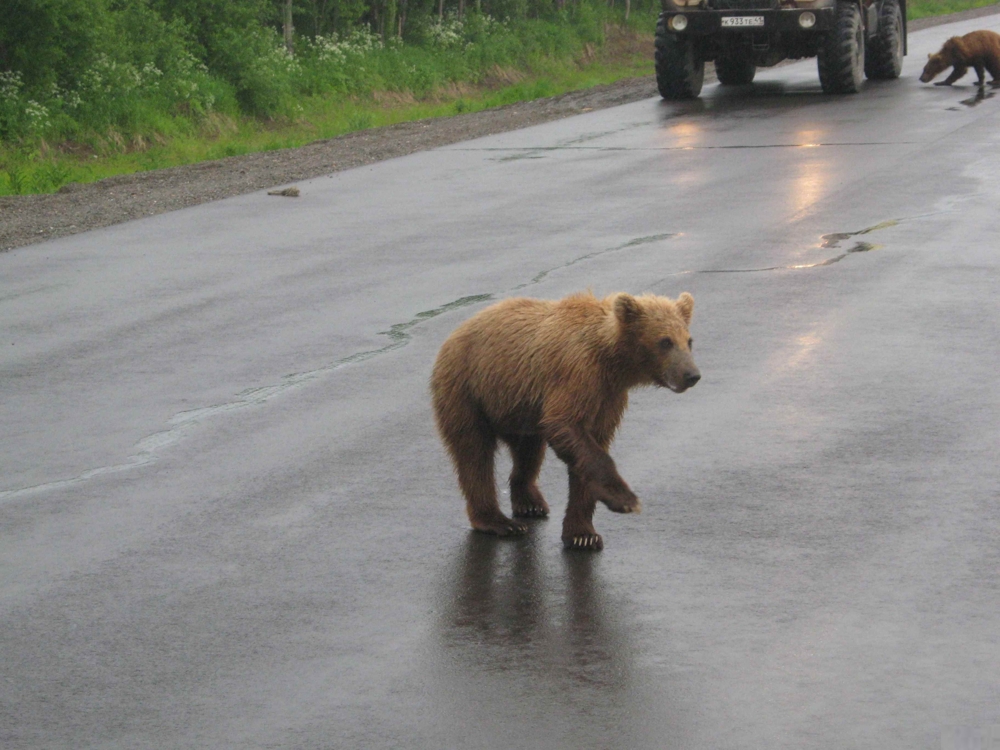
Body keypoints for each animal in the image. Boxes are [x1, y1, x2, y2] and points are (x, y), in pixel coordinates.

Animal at [432, 292, 704, 552]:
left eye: (689, 341)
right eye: (665, 341)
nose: (692, 375)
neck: (612, 362)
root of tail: (455, 333)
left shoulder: (607, 398)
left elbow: (587, 451)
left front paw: (583, 535)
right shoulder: (576, 376)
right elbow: (568, 428)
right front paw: (626, 500)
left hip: (522, 409)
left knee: (528, 453)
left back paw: (529, 503)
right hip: (470, 391)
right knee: (474, 454)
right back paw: (499, 522)